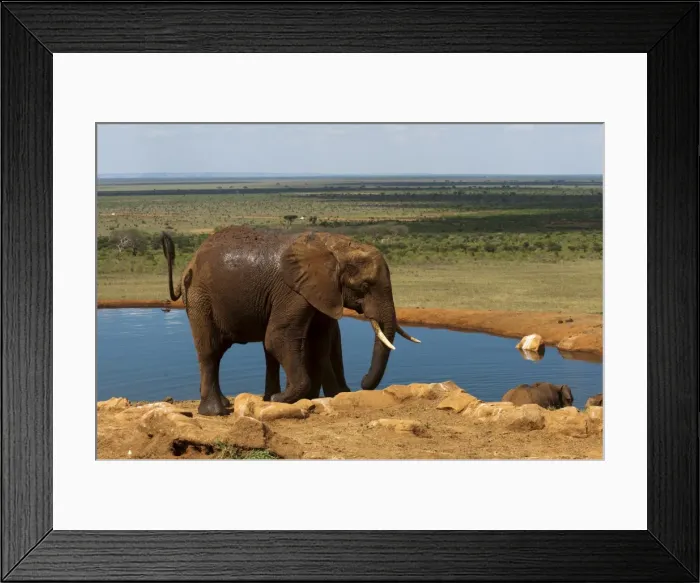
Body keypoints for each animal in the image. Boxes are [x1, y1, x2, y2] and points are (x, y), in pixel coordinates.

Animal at [161, 225, 420, 415]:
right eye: (365, 286)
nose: (364, 382)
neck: (333, 246)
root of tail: (189, 264)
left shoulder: (320, 292)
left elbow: (317, 342)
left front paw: (302, 398)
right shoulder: (293, 291)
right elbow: (278, 338)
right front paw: (283, 399)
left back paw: (233, 403)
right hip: (200, 296)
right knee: (210, 351)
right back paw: (215, 411)